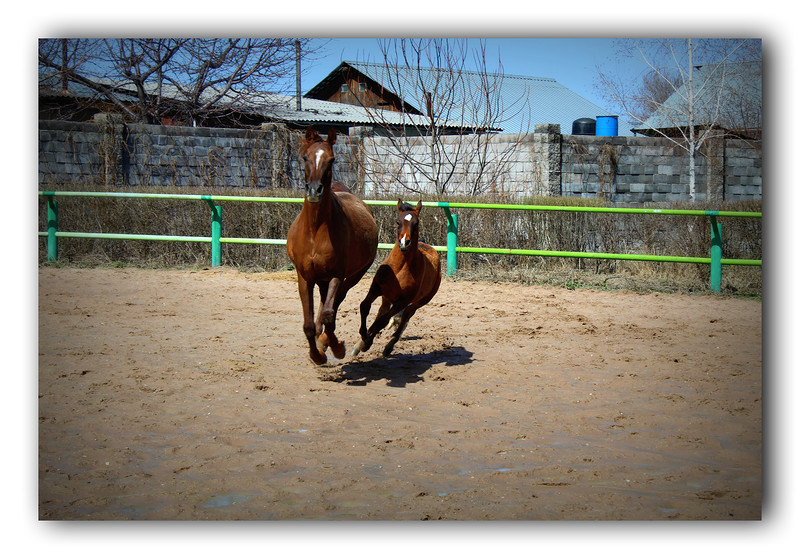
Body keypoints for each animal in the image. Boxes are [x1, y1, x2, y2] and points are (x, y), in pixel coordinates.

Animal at [286, 127, 378, 365]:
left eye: (332, 159)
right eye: (305, 157)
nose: (314, 191)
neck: (315, 231)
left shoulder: (338, 274)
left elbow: (329, 313)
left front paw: (336, 347)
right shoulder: (304, 277)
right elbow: (308, 324)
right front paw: (316, 355)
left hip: (353, 276)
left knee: (334, 303)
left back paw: (327, 340)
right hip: (321, 279)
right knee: (323, 306)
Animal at [351, 200, 442, 358]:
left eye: (416, 223)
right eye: (398, 222)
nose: (404, 242)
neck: (399, 269)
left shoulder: (402, 301)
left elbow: (383, 321)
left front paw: (367, 341)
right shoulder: (376, 289)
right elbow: (365, 306)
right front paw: (362, 338)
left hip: (422, 300)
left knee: (406, 314)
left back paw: (388, 345)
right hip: (387, 298)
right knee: (383, 312)